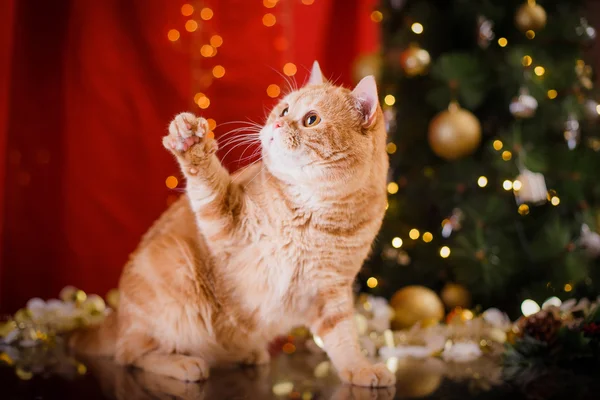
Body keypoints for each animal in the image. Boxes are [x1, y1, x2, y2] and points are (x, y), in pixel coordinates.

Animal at [70, 62, 396, 388]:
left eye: (311, 119)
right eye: (284, 109)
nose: (278, 124)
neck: (312, 214)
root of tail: (116, 315)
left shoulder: (331, 291)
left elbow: (344, 339)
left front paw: (360, 368)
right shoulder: (227, 222)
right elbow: (207, 182)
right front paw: (191, 145)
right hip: (176, 269)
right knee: (130, 354)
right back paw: (183, 363)